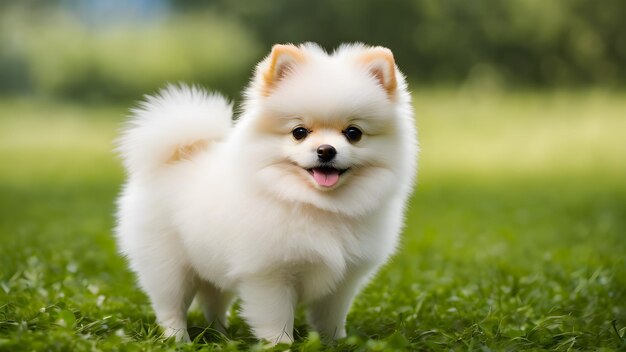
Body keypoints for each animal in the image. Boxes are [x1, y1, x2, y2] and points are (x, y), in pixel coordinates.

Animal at [116, 42, 420, 346]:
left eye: (353, 133)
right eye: (299, 132)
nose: (326, 150)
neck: (317, 205)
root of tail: (181, 154)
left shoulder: (342, 281)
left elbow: (331, 319)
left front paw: (336, 343)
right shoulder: (269, 276)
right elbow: (277, 320)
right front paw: (280, 345)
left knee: (214, 300)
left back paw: (221, 335)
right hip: (169, 266)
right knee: (171, 306)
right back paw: (178, 339)